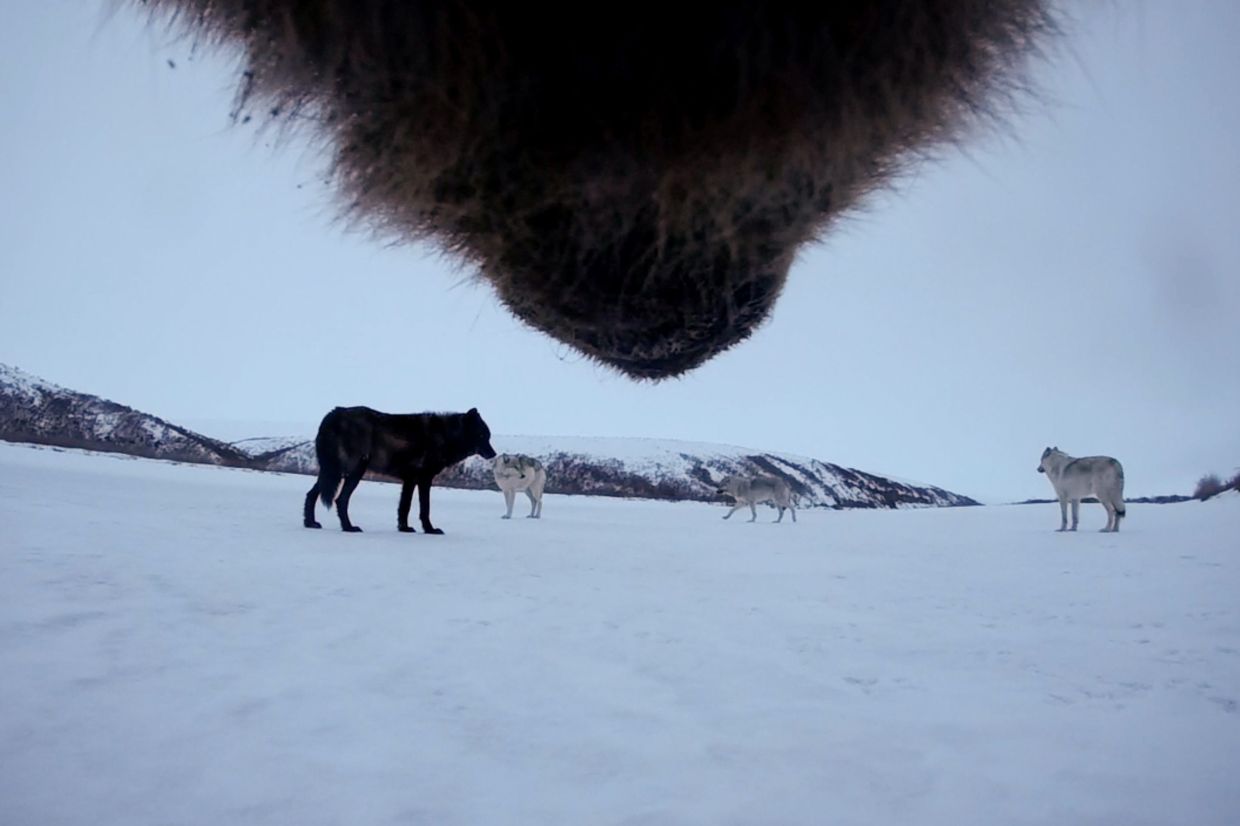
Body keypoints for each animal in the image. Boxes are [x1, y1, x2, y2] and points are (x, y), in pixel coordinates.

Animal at [303, 406, 496, 534]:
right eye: (482, 436)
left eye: (488, 436)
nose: (494, 454)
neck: (445, 436)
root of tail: (333, 415)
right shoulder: (424, 480)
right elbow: (425, 508)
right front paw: (430, 529)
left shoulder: (409, 480)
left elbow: (405, 506)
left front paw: (404, 528)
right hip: (350, 473)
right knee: (341, 500)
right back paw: (349, 527)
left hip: (333, 473)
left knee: (312, 494)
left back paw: (310, 523)